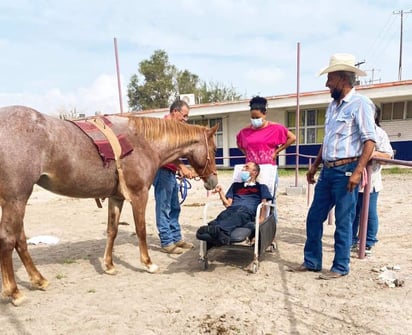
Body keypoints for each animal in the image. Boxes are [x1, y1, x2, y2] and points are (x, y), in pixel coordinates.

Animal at [0, 106, 219, 306]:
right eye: (214, 149)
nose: (213, 182)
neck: (142, 142)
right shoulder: (139, 195)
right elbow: (141, 229)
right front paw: (148, 263)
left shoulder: (116, 198)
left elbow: (112, 230)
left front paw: (109, 265)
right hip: (16, 199)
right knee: (8, 240)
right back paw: (15, 292)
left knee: (20, 240)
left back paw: (39, 280)